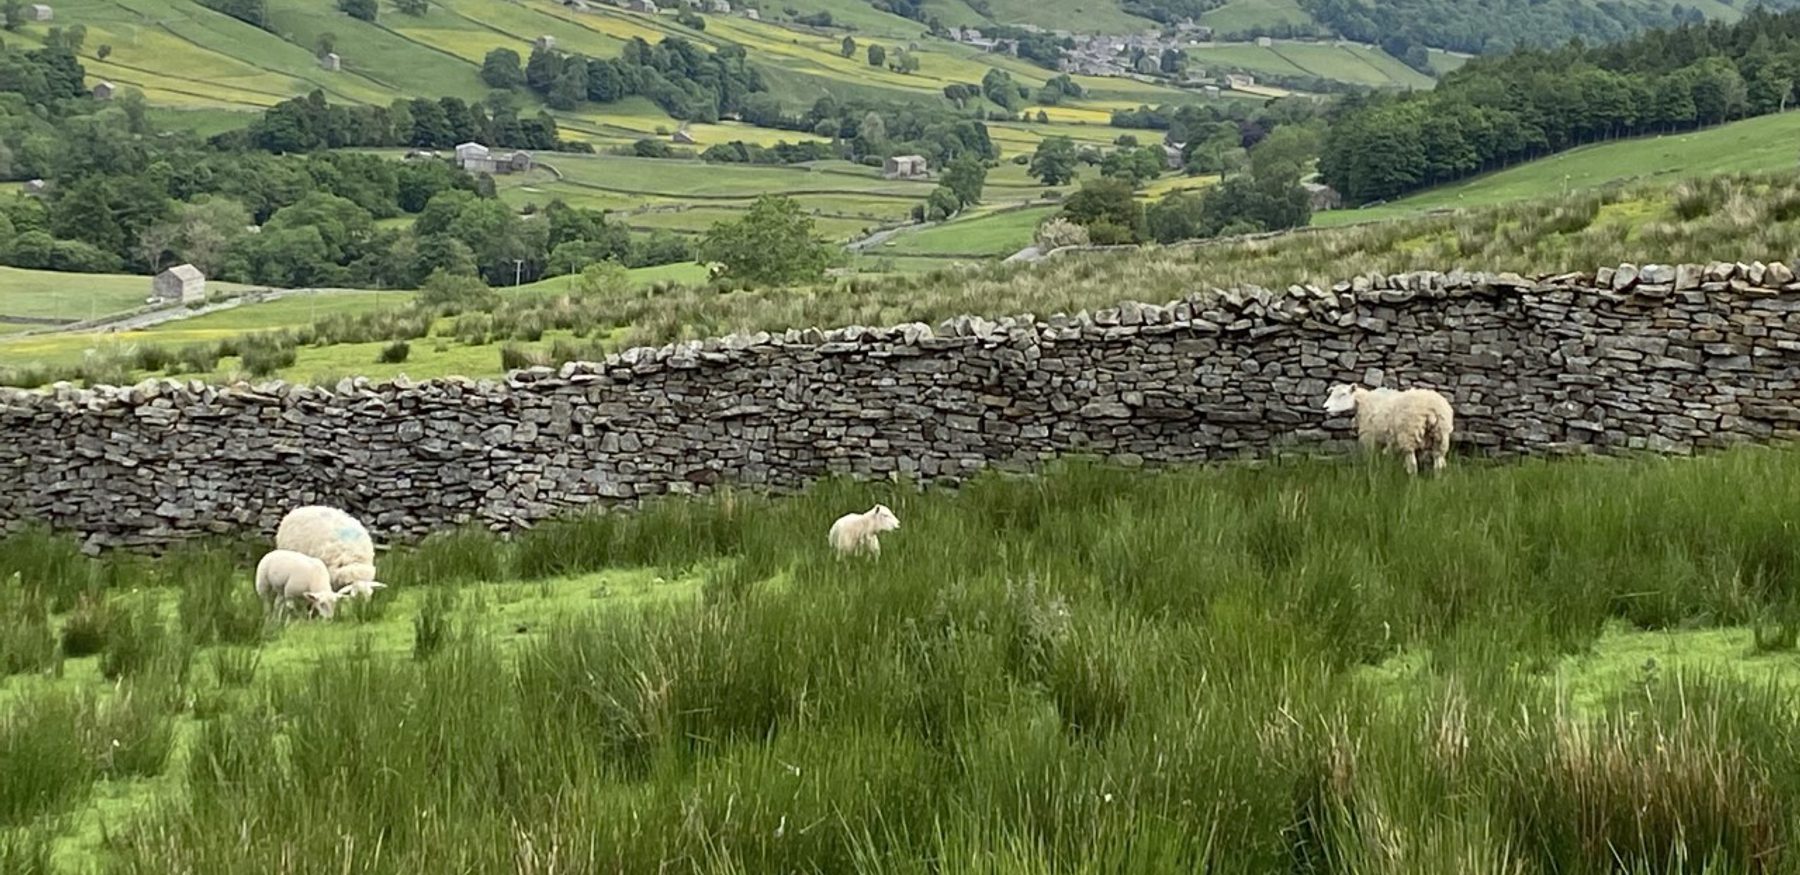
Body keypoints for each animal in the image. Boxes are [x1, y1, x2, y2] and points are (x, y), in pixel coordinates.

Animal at [1322, 383, 1455, 475]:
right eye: (1331, 394)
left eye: (1343, 394)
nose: (1325, 407)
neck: (1363, 402)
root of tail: (1431, 409)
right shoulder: (1385, 439)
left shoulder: (1370, 437)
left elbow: (1372, 458)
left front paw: (1371, 472)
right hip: (1440, 436)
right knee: (1438, 464)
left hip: (1408, 434)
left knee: (1413, 465)